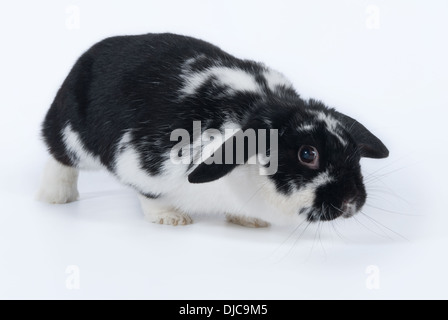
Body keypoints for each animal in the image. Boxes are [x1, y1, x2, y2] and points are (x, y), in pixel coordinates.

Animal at [37, 32, 388, 228]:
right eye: (307, 153)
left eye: (353, 150)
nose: (351, 202)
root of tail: (87, 56)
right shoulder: (144, 163)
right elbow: (151, 197)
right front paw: (171, 219)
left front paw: (249, 221)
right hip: (71, 134)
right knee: (58, 157)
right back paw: (56, 198)